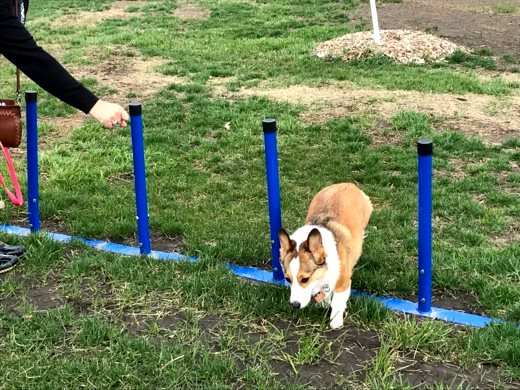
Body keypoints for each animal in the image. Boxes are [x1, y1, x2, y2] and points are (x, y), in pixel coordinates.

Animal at [278, 183, 372, 330]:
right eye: (287, 279)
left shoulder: (343, 282)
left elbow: (338, 302)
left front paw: (335, 321)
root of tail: (348, 183)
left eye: (304, 279)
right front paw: (324, 302)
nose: (295, 305)